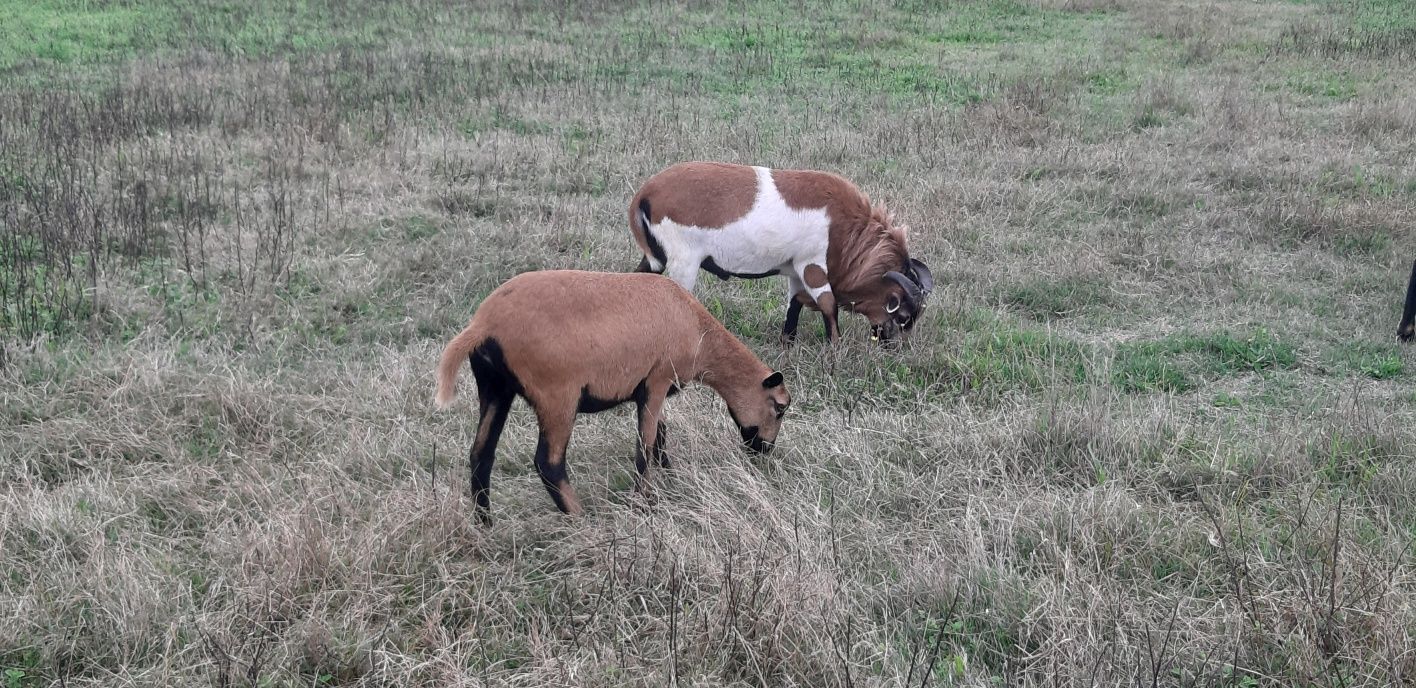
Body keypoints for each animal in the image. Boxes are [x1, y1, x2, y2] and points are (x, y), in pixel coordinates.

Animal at [433, 268, 787, 520]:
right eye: (780, 407)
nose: (764, 451)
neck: (701, 336)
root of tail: (483, 326)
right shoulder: (656, 380)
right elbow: (645, 445)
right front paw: (644, 501)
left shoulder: (648, 390)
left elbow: (661, 433)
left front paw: (670, 476)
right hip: (557, 396)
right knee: (548, 463)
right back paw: (580, 519)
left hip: (495, 388)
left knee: (481, 454)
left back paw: (484, 524)